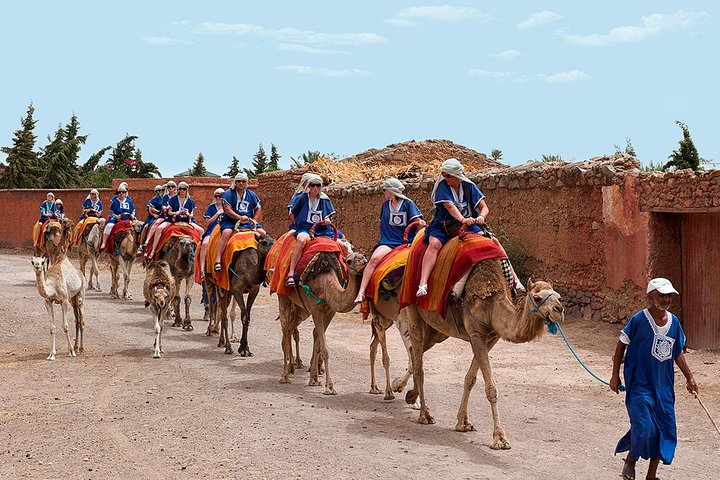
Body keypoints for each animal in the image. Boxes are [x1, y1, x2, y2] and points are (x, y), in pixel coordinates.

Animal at [278, 251, 368, 395]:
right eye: (348, 261)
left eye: (363, 256)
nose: (364, 261)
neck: (326, 286)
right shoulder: (316, 310)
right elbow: (325, 349)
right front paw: (329, 387)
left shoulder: (330, 311)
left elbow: (318, 343)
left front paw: (313, 379)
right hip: (283, 297)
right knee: (285, 328)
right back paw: (285, 376)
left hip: (301, 309)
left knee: (290, 328)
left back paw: (293, 367)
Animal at [404, 260, 565, 450]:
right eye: (538, 297)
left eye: (559, 297)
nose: (559, 310)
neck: (492, 306)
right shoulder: (476, 335)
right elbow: (491, 388)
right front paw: (499, 438)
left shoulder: (491, 338)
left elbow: (470, 379)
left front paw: (463, 422)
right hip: (414, 314)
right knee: (419, 365)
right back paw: (425, 414)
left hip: (438, 329)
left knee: (415, 353)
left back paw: (408, 395)